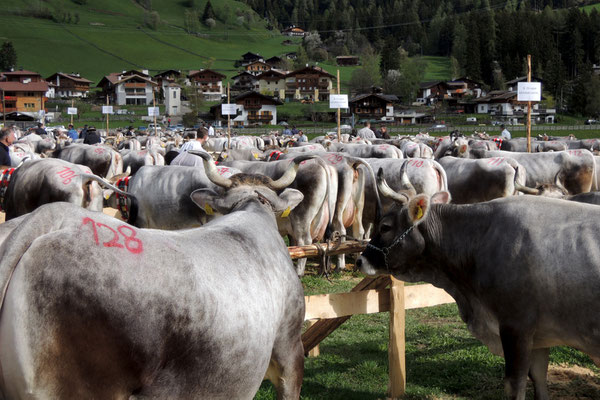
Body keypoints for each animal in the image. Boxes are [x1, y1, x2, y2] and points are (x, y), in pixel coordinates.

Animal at [356, 177, 600, 396]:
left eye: (385, 227)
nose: (360, 260)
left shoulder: (516, 326)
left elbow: (516, 384)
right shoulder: (541, 333)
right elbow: (539, 378)